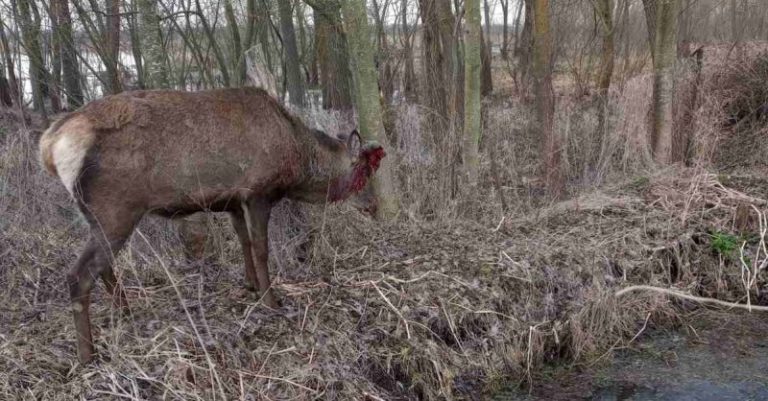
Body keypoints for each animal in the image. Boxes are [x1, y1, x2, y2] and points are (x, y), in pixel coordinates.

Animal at [39, 87, 386, 364]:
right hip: (115, 209)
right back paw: (88, 355)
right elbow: (261, 249)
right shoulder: (258, 191)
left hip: (96, 215)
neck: (296, 162)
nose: (374, 205)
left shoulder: (232, 200)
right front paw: (271, 301)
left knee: (102, 267)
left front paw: (251, 285)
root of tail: (50, 145)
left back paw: (126, 312)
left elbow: (244, 242)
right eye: (363, 172)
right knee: (79, 274)